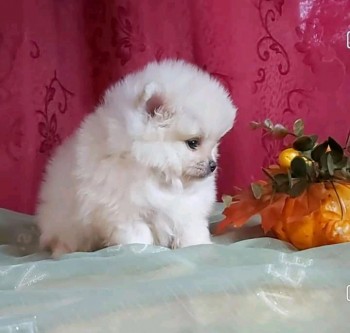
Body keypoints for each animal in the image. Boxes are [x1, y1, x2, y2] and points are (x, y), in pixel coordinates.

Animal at [36, 59, 238, 256]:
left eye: (215, 144)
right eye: (193, 143)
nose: (213, 165)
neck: (158, 172)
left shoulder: (187, 208)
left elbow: (191, 230)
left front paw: (198, 245)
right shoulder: (125, 213)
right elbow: (137, 236)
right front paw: (140, 251)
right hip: (66, 223)